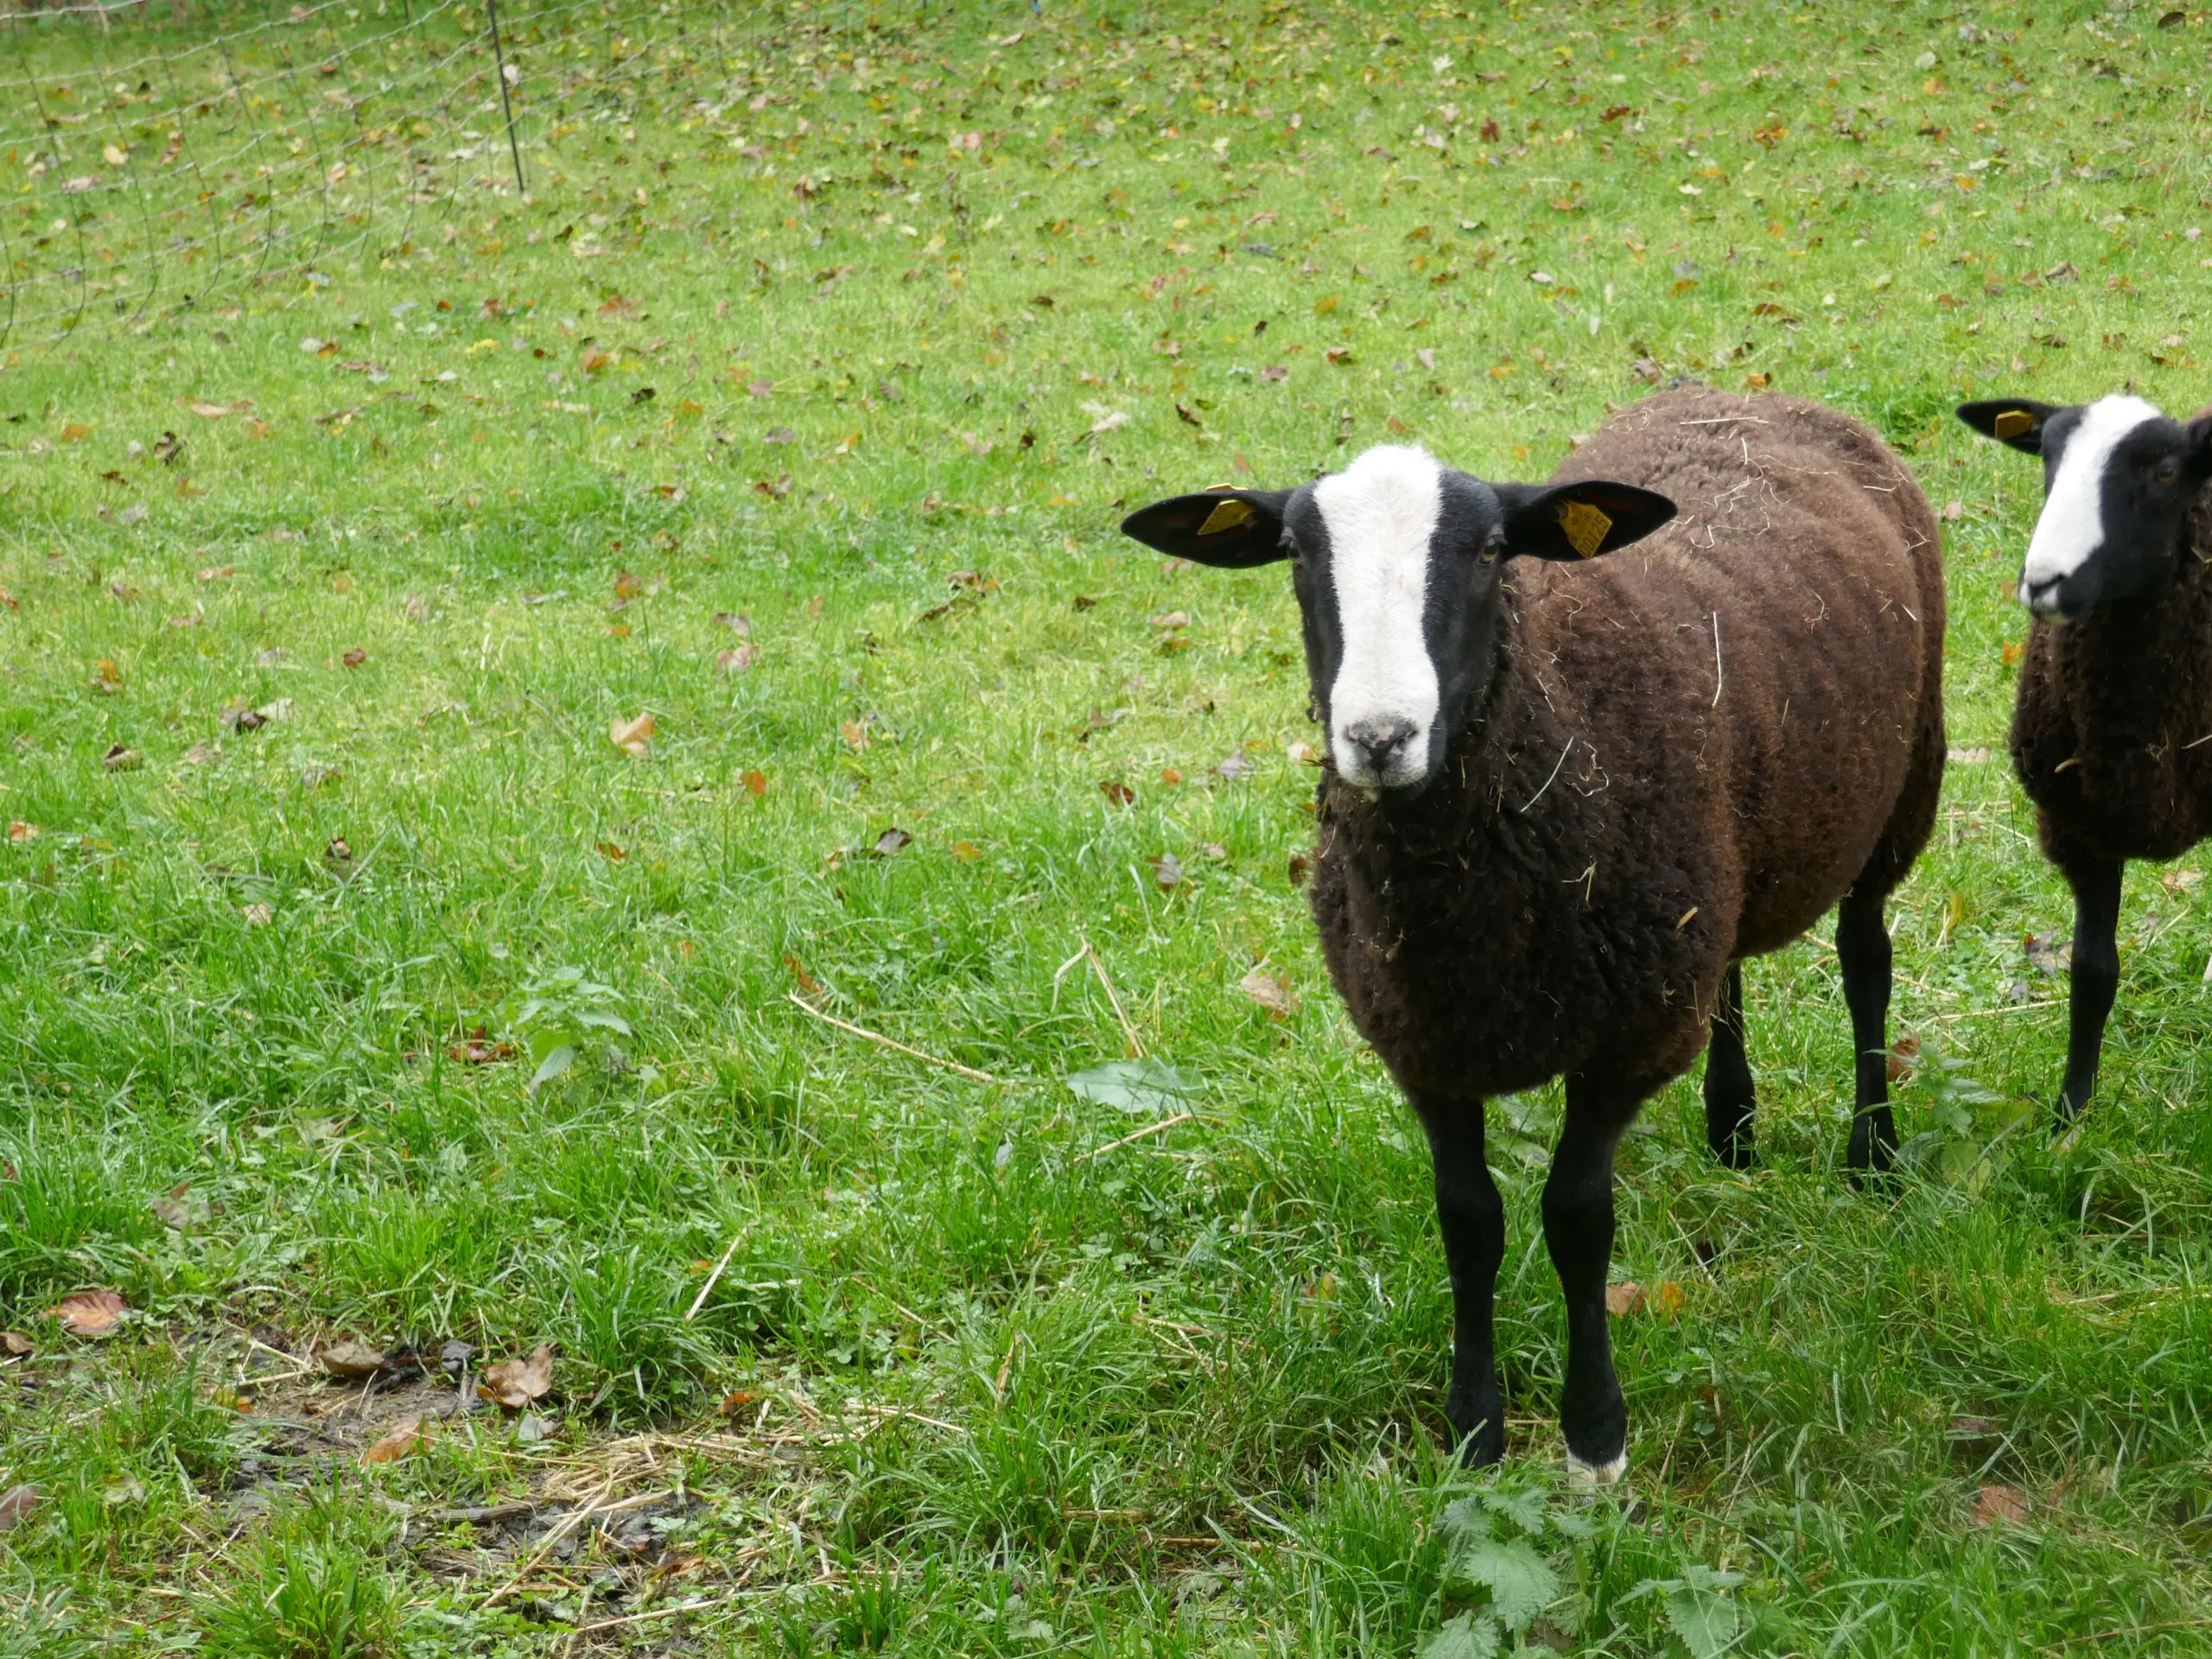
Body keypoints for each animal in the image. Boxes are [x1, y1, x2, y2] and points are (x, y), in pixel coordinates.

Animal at [1132, 389, 1946, 1478]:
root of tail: (1745, 393)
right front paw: (1473, 1427)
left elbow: (1575, 1219)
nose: (1378, 739)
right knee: (1728, 963)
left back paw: (1873, 1155)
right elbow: (1468, 1221)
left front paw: (1594, 1433)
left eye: (1486, 551)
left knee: (1865, 963)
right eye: (1298, 552)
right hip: (1716, 868)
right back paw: (1731, 1128)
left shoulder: (1624, 1040)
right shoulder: (1423, 1039)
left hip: (1903, 788)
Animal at [1955, 393, 2212, 1132]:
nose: (2045, 582)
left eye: (2164, 473)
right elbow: (2092, 973)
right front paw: (2070, 1114)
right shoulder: (2079, 823)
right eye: (2046, 454)